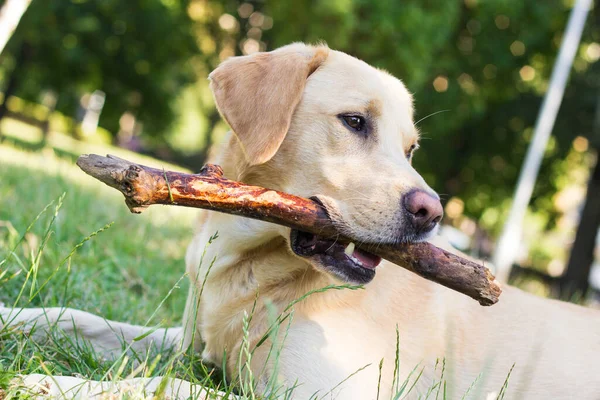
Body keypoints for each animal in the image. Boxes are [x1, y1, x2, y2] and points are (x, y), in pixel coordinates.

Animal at [3, 42, 600, 398]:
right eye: (355, 122)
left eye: (410, 149)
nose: (432, 213)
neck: (247, 264)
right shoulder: (191, 344)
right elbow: (75, 317)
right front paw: (13, 317)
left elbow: (160, 388)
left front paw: (45, 381)